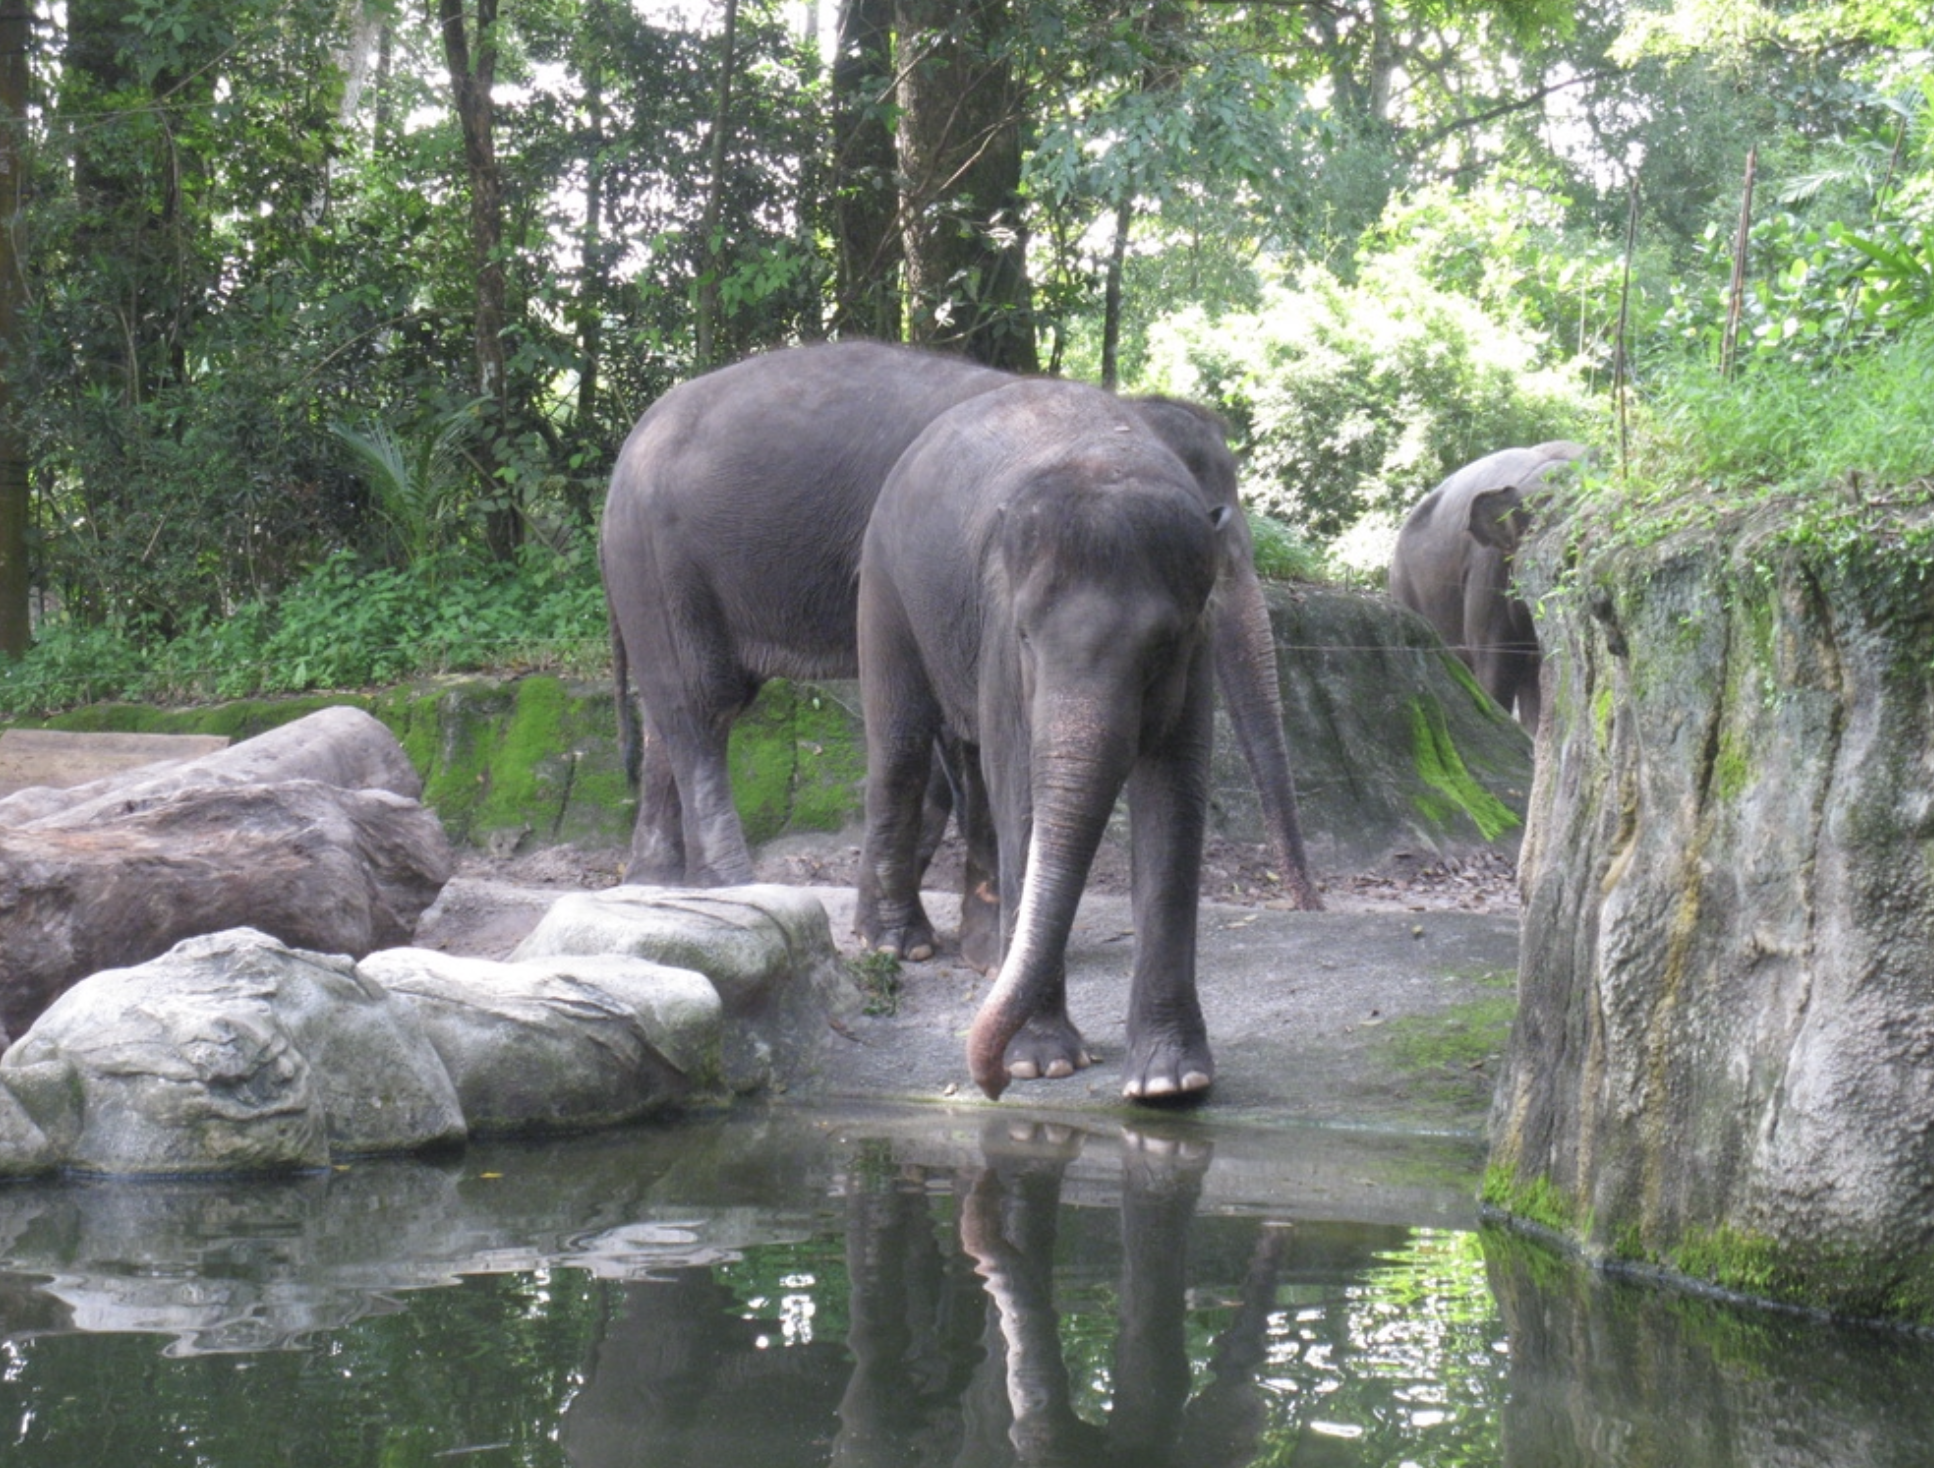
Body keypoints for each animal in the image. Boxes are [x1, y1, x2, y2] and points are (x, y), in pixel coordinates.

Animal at [599, 340, 1330, 936]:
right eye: (1211, 567)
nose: (1310, 905)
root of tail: (626, 449)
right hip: (660, 560)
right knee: (703, 706)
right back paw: (732, 889)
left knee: (672, 714)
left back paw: (655, 887)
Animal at [862, 379, 1222, 1098]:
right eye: (1028, 636)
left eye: (1163, 645)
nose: (992, 1083)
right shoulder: (1001, 638)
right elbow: (1022, 790)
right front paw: (1046, 1063)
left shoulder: (1200, 655)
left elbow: (1174, 798)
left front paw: (1171, 1084)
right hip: (885, 582)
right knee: (902, 747)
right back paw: (902, 945)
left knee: (971, 769)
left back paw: (981, 956)